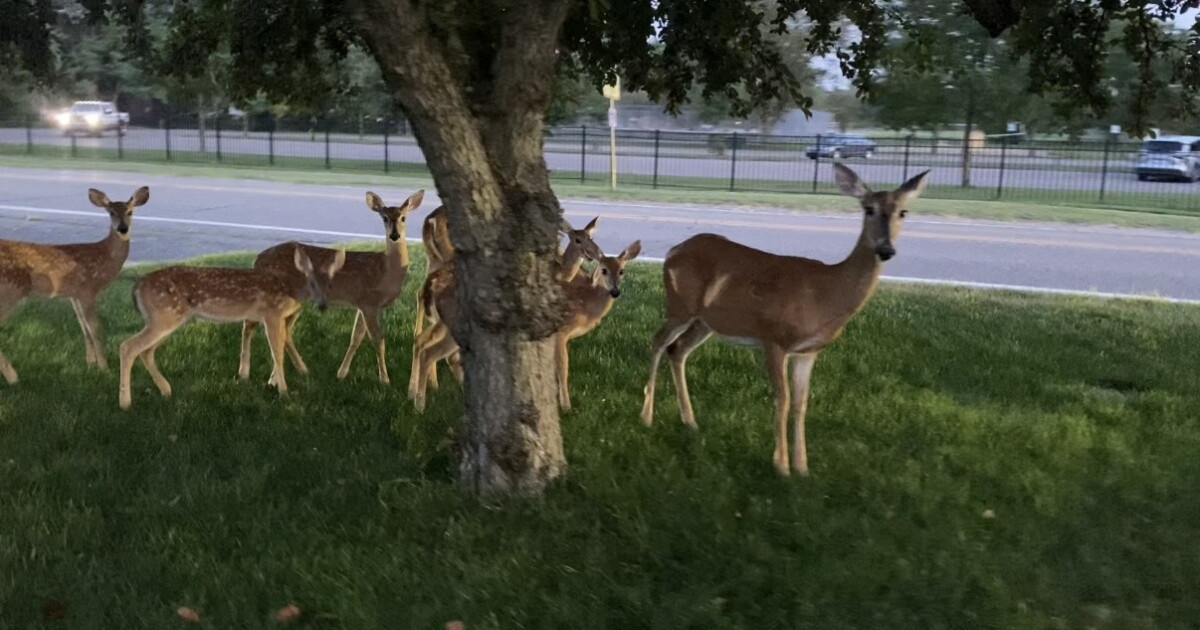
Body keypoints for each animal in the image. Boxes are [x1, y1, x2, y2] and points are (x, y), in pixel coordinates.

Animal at [0, 186, 149, 383]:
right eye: (111, 212)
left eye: (130, 212)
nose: (122, 228)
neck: (105, 257)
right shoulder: (88, 290)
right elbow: (95, 329)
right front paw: (104, 368)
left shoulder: (75, 294)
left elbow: (84, 328)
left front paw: (90, 364)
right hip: (10, 290)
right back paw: (13, 377)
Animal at [118, 246, 346, 410]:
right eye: (313, 282)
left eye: (331, 284)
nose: (323, 305)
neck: (289, 289)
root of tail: (137, 286)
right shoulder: (271, 314)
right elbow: (277, 353)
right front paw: (283, 392)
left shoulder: (275, 318)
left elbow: (279, 348)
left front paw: (274, 384)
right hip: (163, 318)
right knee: (128, 346)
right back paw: (125, 403)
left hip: (168, 320)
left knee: (146, 351)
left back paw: (166, 391)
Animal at [240, 189, 424, 385]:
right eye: (384, 218)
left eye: (403, 217)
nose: (394, 236)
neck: (387, 270)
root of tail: (257, 260)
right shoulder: (369, 302)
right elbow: (378, 340)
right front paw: (385, 380)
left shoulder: (363, 304)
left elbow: (356, 338)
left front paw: (341, 373)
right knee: (252, 324)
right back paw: (245, 373)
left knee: (281, 330)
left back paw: (284, 375)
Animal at [409, 239, 639, 413]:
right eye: (604, 270)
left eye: (622, 271)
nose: (615, 291)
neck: (584, 301)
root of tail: (435, 285)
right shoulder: (560, 332)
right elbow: (562, 368)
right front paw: (565, 406)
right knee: (433, 351)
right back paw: (420, 404)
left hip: (445, 323)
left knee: (425, 343)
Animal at [639, 162, 930, 477]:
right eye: (869, 209)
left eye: (903, 211)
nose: (886, 250)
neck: (826, 293)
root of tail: (673, 250)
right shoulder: (774, 339)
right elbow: (784, 399)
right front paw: (780, 465)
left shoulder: (809, 351)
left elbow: (802, 403)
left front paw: (802, 467)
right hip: (679, 306)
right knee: (657, 342)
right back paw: (646, 416)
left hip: (705, 322)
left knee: (677, 350)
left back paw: (690, 421)